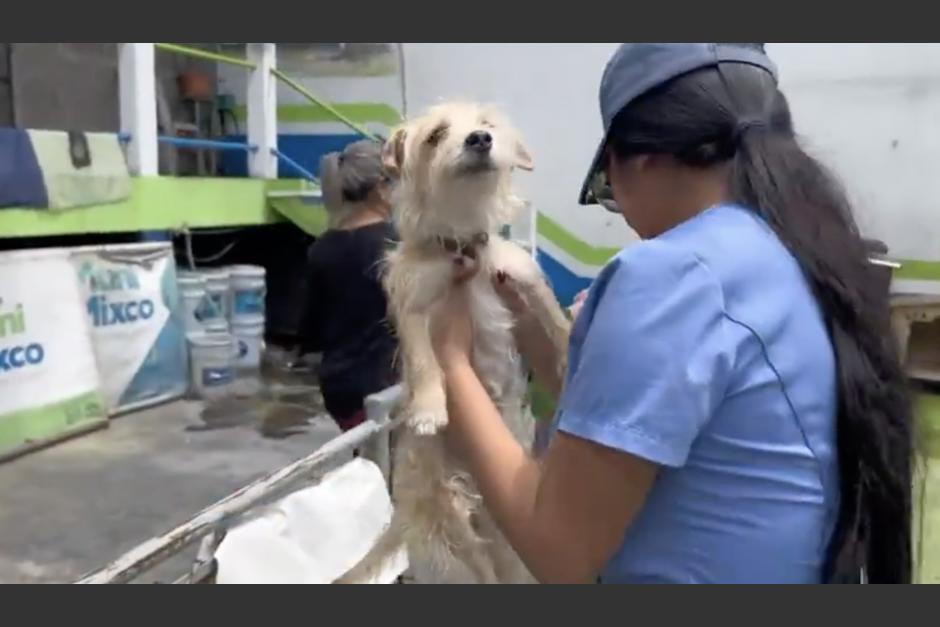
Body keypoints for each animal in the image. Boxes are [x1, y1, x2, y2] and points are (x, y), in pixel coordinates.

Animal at [337, 103, 571, 584]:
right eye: (436, 135)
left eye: (487, 124)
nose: (479, 139)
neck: (461, 242)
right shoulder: (413, 306)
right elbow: (426, 360)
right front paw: (429, 407)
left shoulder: (522, 279)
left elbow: (554, 319)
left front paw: (572, 341)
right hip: (454, 523)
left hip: (503, 532)